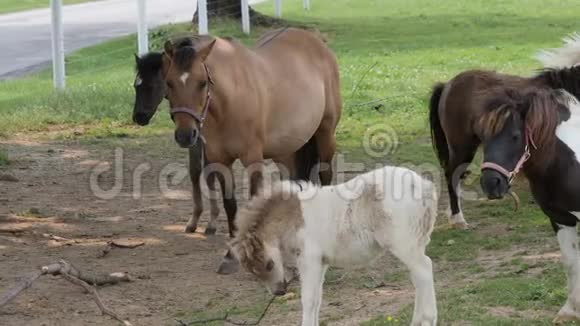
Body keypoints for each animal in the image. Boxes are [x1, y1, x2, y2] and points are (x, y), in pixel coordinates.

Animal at [229, 166, 438, 326]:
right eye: (253, 272)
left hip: (404, 244)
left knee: (425, 269)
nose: (279, 292)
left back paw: (429, 318)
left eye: (269, 264)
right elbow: (317, 299)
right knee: (418, 277)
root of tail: (424, 186)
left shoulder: (309, 260)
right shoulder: (321, 263)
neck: (293, 216)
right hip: (416, 243)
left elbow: (308, 299)